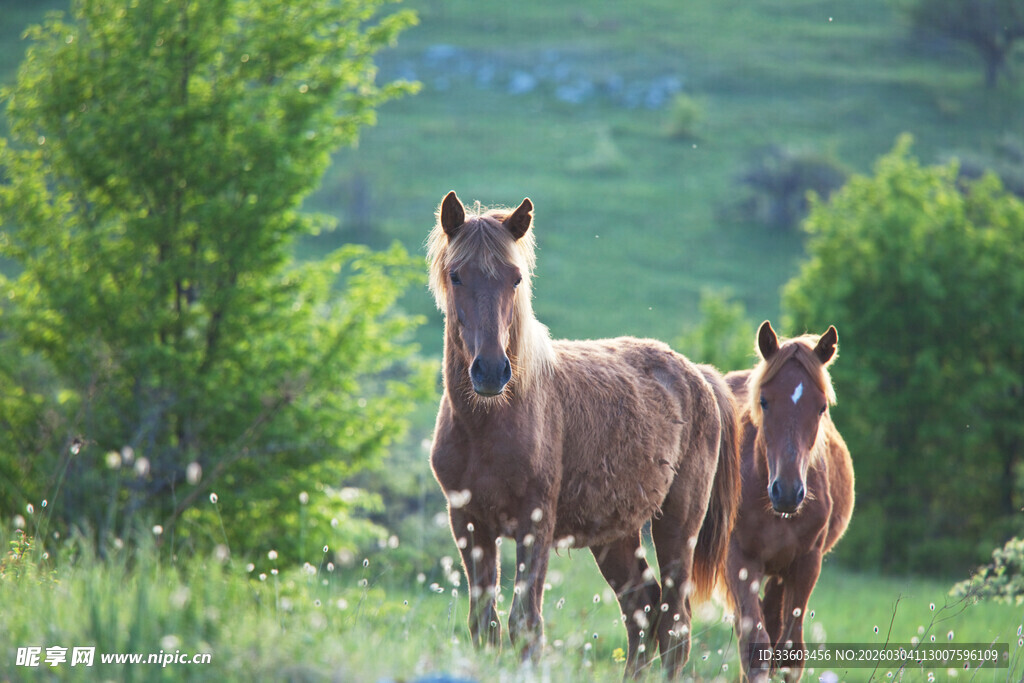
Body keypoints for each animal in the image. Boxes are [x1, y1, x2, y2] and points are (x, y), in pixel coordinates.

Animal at [427, 191, 741, 677]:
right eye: (456, 275)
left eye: (516, 277)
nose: (492, 371)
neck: (488, 426)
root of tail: (700, 376)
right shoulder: (468, 521)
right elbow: (485, 623)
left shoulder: (534, 522)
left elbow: (525, 623)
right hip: (615, 535)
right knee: (642, 610)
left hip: (677, 526)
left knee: (674, 624)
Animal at [723, 321, 854, 682]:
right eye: (764, 401)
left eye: (821, 407)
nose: (787, 492)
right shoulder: (740, 560)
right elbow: (755, 648)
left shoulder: (806, 562)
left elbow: (791, 651)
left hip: (780, 573)